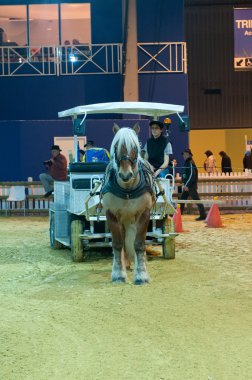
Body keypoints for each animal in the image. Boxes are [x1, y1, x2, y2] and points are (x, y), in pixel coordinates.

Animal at [101, 124, 155, 284]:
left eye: (135, 148)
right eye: (116, 147)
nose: (126, 174)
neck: (127, 189)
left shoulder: (144, 213)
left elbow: (139, 244)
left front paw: (141, 274)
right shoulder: (112, 214)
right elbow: (118, 244)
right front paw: (118, 274)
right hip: (124, 220)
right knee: (124, 242)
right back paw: (126, 264)